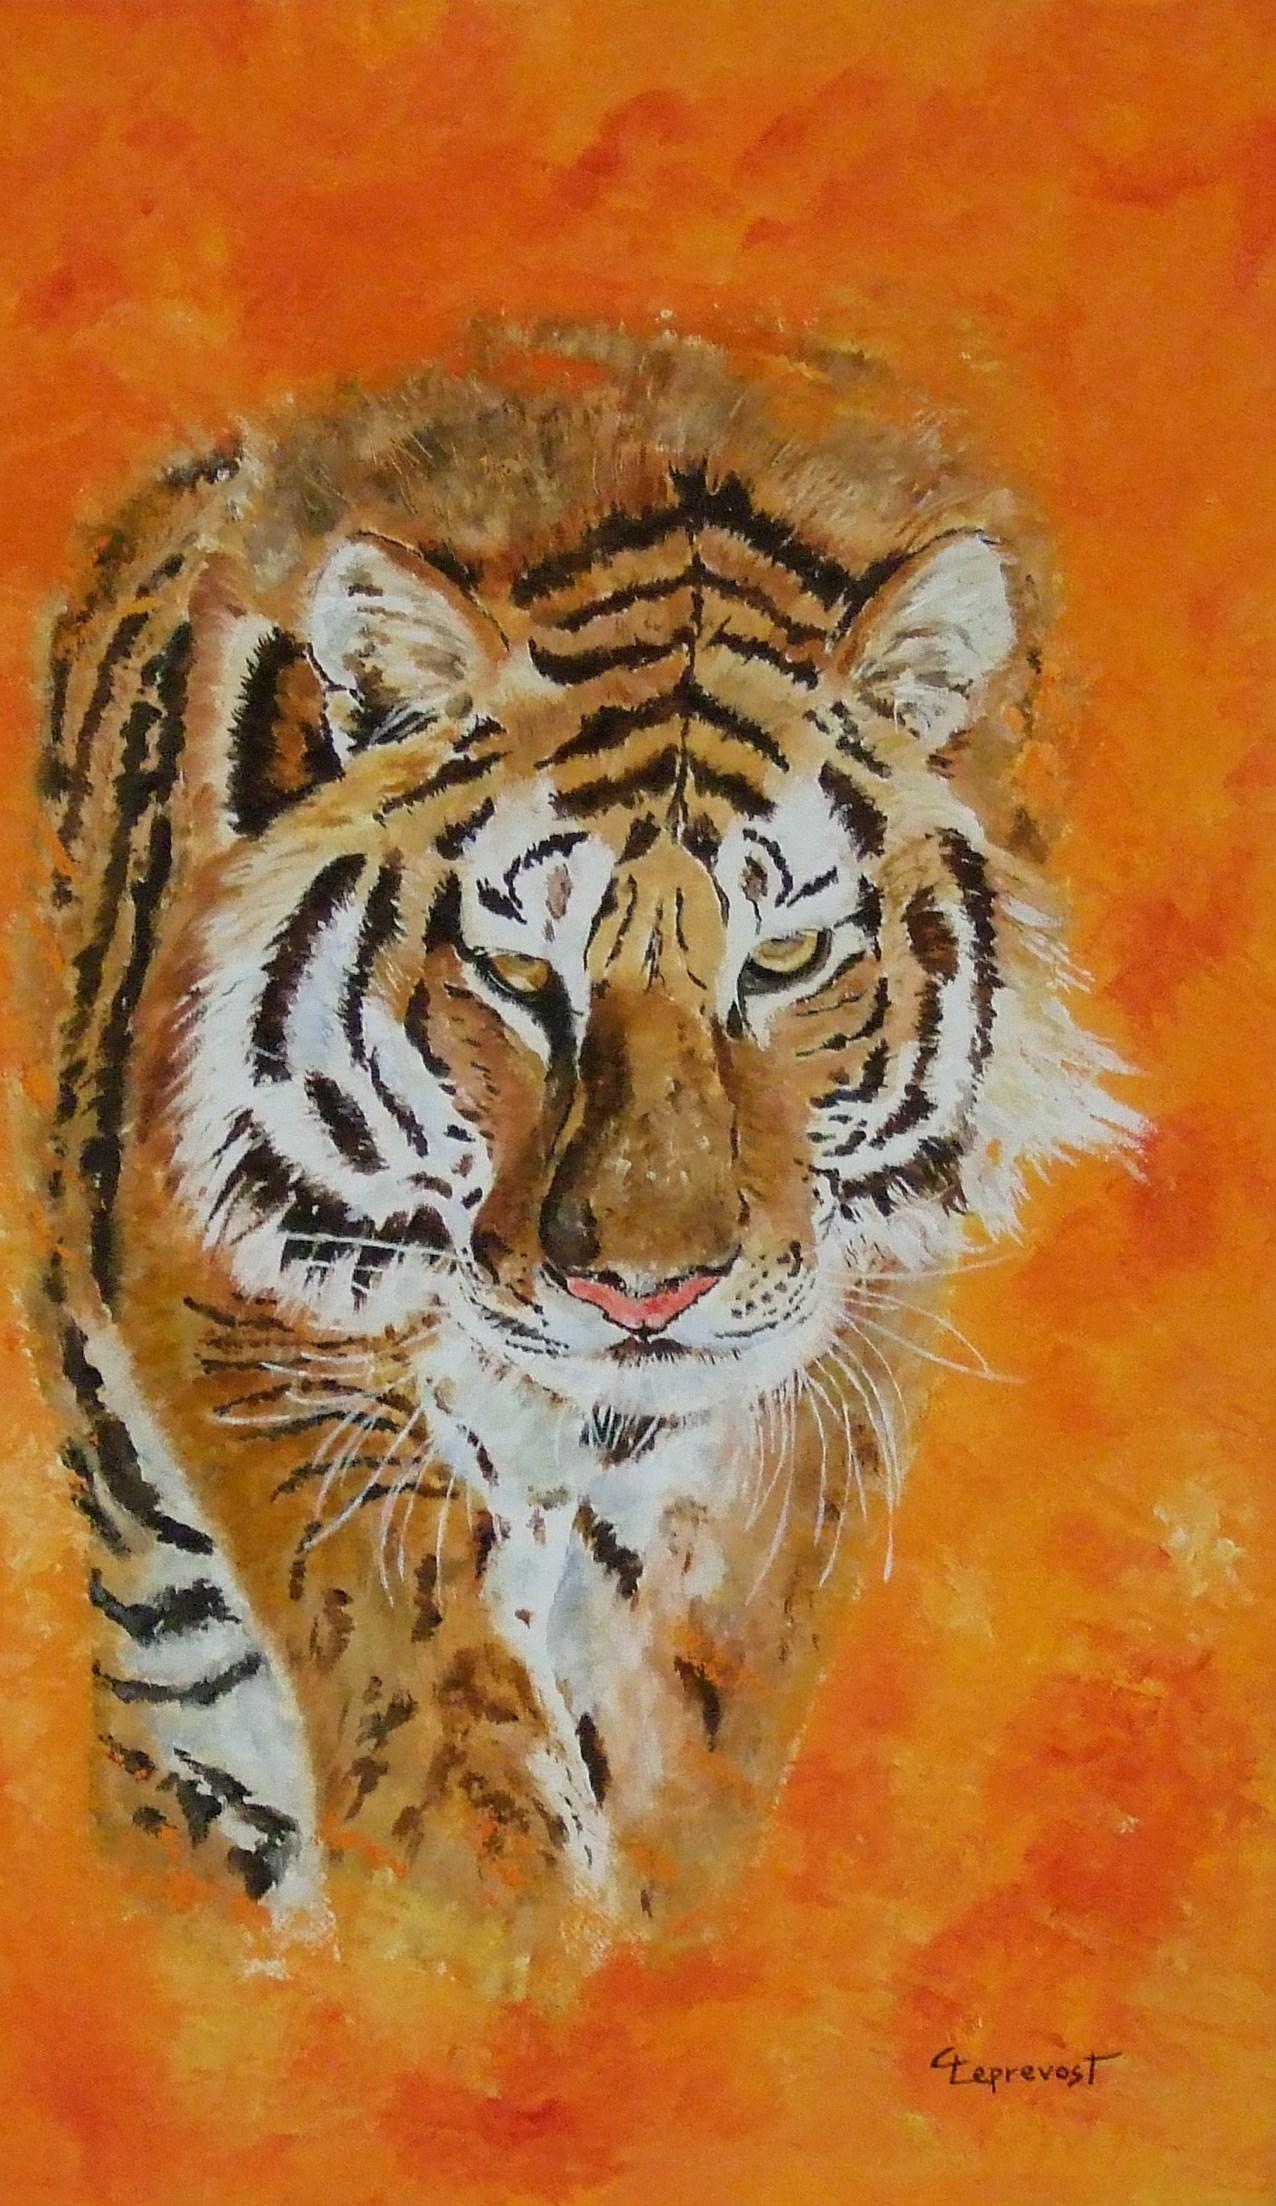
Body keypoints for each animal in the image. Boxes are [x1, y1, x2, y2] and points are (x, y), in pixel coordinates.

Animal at [30, 321, 1138, 1962]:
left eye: (784, 956)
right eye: (518, 973)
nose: (642, 1291)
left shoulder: (808, 1383)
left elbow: (694, 1683)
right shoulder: (258, 1281)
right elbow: (417, 1636)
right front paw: (495, 1934)